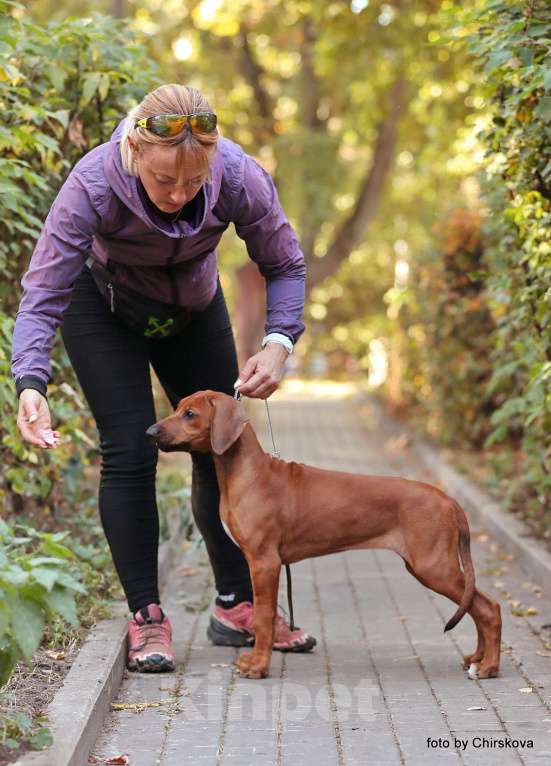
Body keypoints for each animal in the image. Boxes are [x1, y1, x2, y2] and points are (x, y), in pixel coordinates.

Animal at [146, 392, 500, 680]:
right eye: (177, 408)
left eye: (190, 414)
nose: (151, 433)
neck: (248, 473)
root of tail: (448, 499)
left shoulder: (265, 562)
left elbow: (263, 617)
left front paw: (258, 666)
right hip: (430, 566)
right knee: (478, 606)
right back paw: (477, 659)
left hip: (433, 566)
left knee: (488, 607)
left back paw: (488, 667)